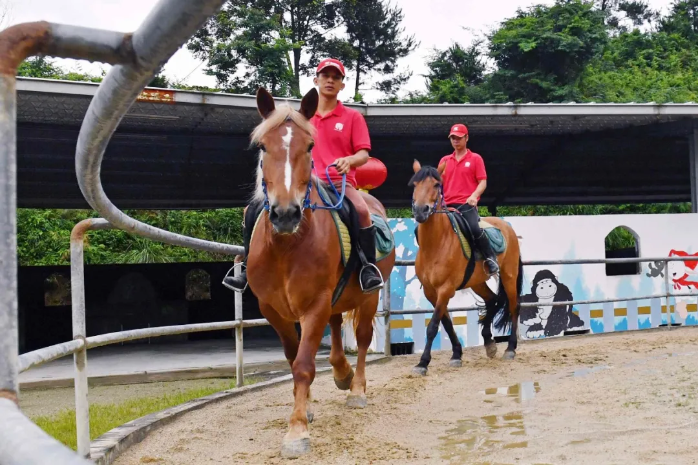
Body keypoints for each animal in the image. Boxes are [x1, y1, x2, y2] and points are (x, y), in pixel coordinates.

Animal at [246, 87, 394, 456]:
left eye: (309, 146)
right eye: (262, 146)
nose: (286, 213)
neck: (286, 247)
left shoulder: (315, 304)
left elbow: (303, 365)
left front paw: (297, 431)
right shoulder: (272, 309)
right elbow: (292, 356)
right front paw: (307, 407)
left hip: (369, 297)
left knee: (363, 338)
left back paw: (355, 389)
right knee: (337, 328)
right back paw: (341, 373)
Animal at [406, 159, 520, 374]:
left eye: (436, 185)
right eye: (414, 185)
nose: (420, 211)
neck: (436, 244)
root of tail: (507, 227)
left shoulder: (445, 289)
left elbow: (433, 325)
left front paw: (423, 363)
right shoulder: (431, 292)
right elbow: (445, 322)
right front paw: (456, 354)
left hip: (509, 276)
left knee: (513, 307)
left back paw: (510, 348)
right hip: (477, 282)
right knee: (492, 300)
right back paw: (489, 343)